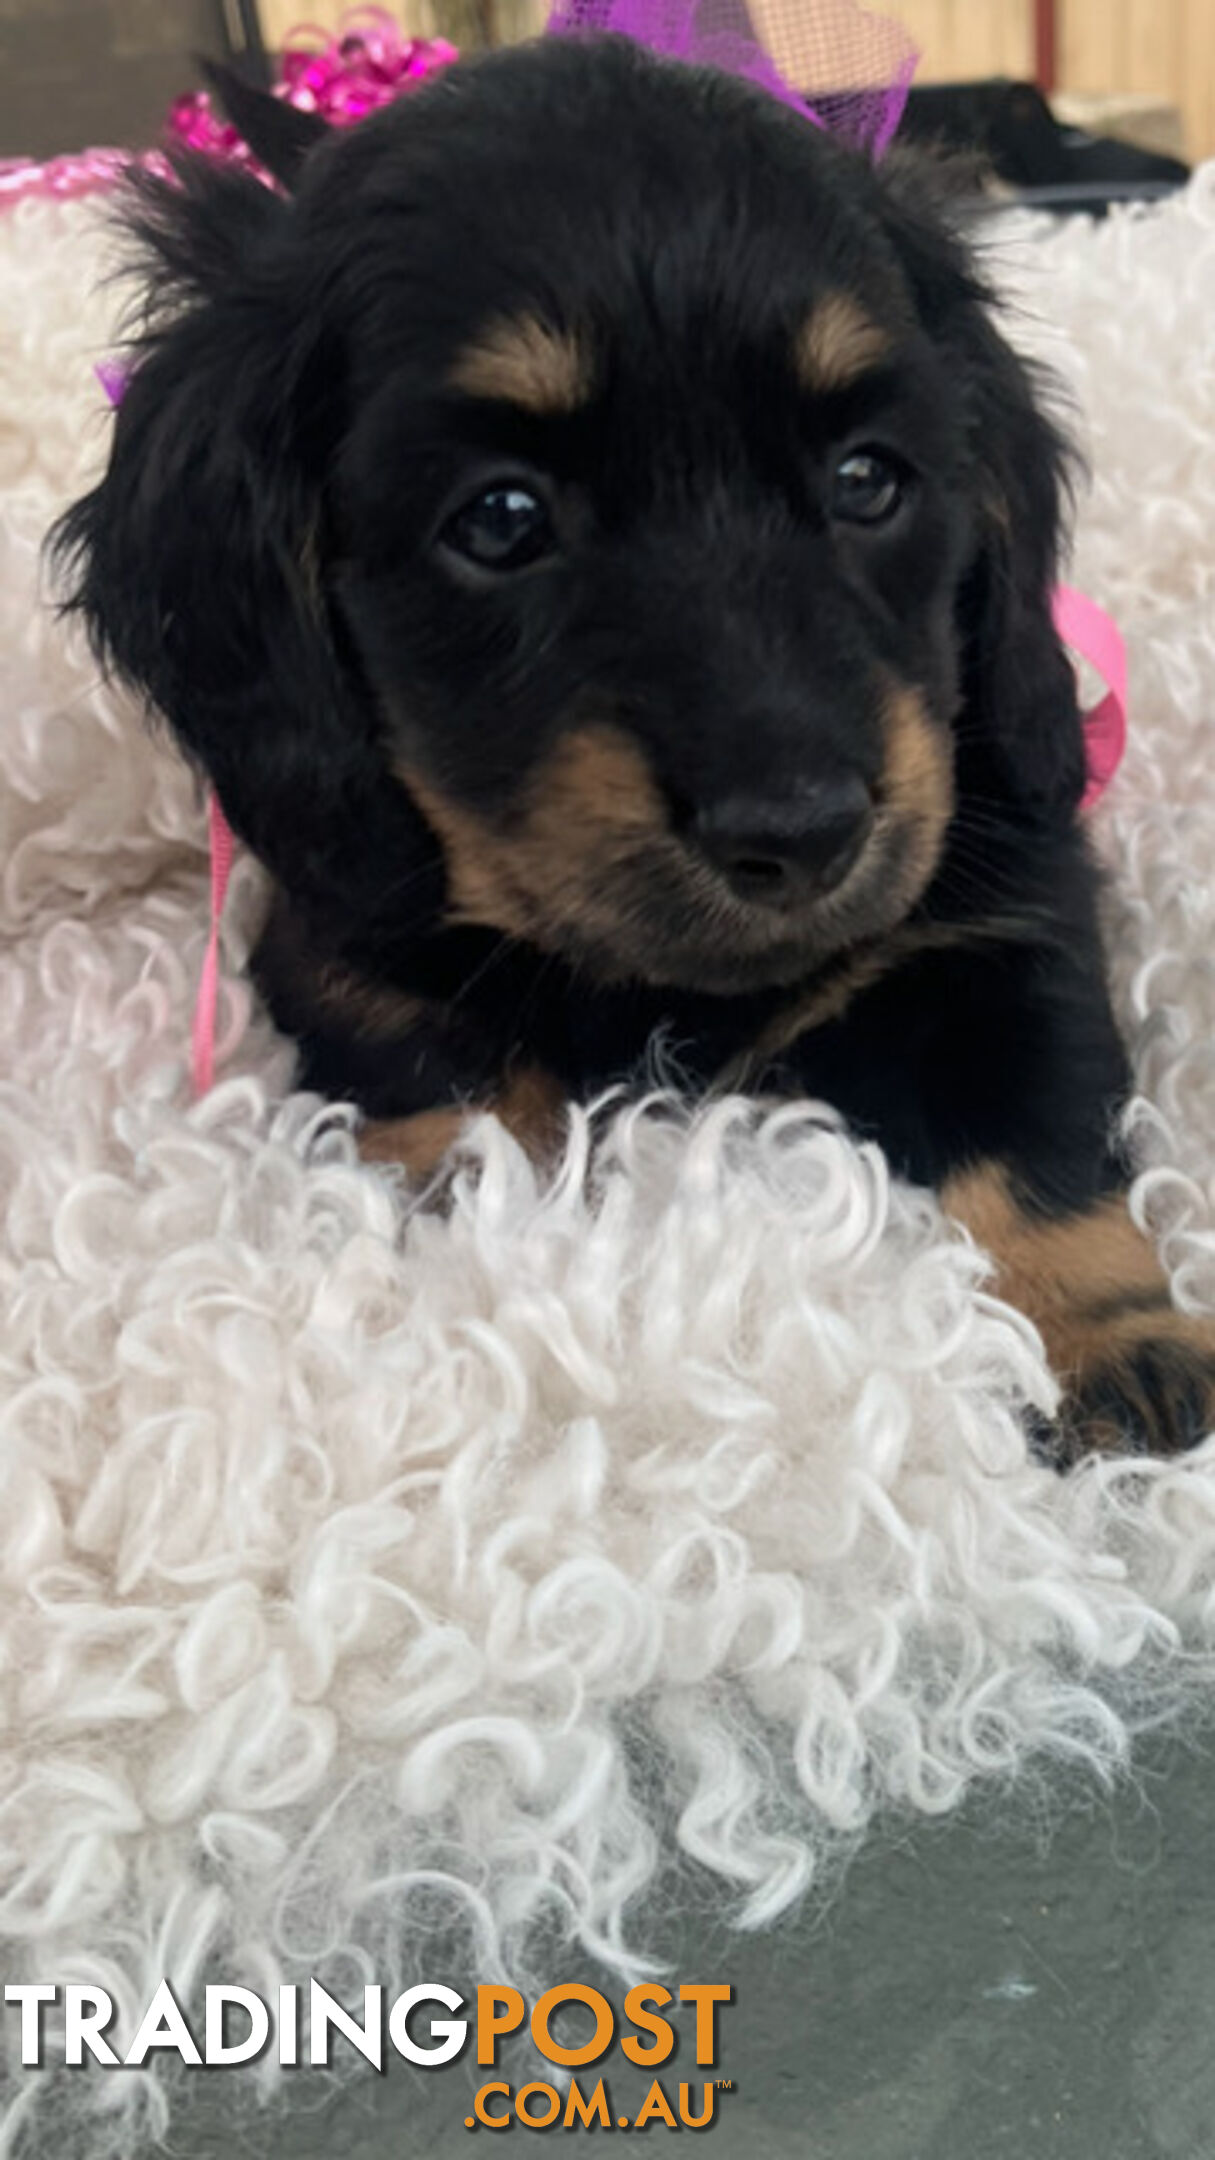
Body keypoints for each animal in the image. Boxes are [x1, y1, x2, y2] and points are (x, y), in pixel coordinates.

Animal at [54, 33, 1210, 1460]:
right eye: (499, 518)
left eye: (868, 479)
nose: (802, 830)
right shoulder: (339, 950)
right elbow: (449, 1077)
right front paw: (516, 1231)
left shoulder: (1003, 920)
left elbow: (1041, 1117)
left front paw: (1114, 1343)